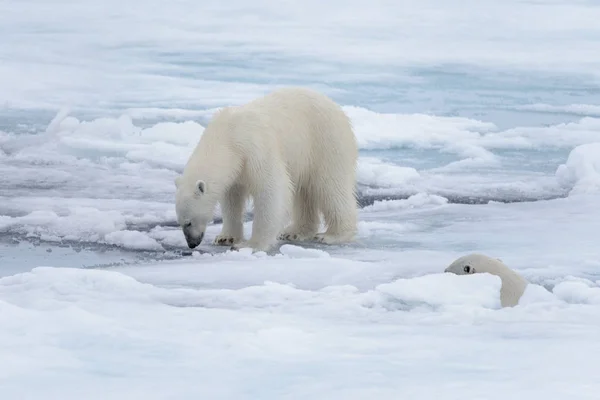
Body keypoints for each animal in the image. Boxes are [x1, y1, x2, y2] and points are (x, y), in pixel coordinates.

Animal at [176, 86, 358, 253]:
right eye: (180, 222)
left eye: (188, 222)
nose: (192, 244)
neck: (227, 137)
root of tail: (337, 108)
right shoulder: (236, 170)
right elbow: (232, 199)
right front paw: (225, 238)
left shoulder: (254, 150)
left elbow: (271, 191)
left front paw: (251, 245)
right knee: (304, 192)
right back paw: (294, 232)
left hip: (326, 143)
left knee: (330, 187)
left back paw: (333, 235)